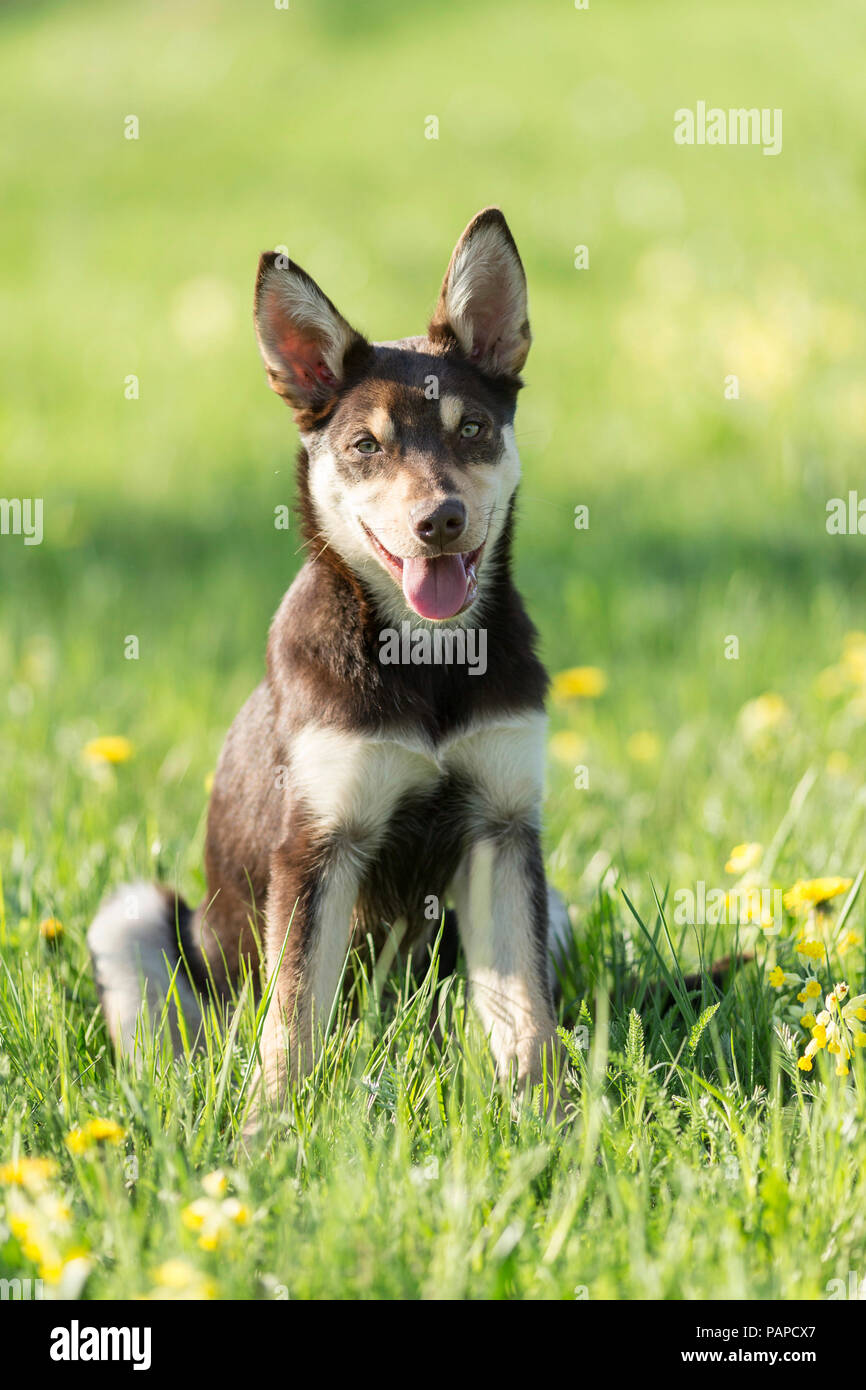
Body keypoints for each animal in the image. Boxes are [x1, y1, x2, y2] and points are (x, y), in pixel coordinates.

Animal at [91, 205, 572, 1112]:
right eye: (364, 447)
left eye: (473, 429)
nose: (440, 521)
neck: (425, 657)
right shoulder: (318, 844)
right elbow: (294, 1018)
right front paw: (271, 1126)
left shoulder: (504, 827)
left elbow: (524, 1008)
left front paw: (549, 1119)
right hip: (136, 921)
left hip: (549, 899)